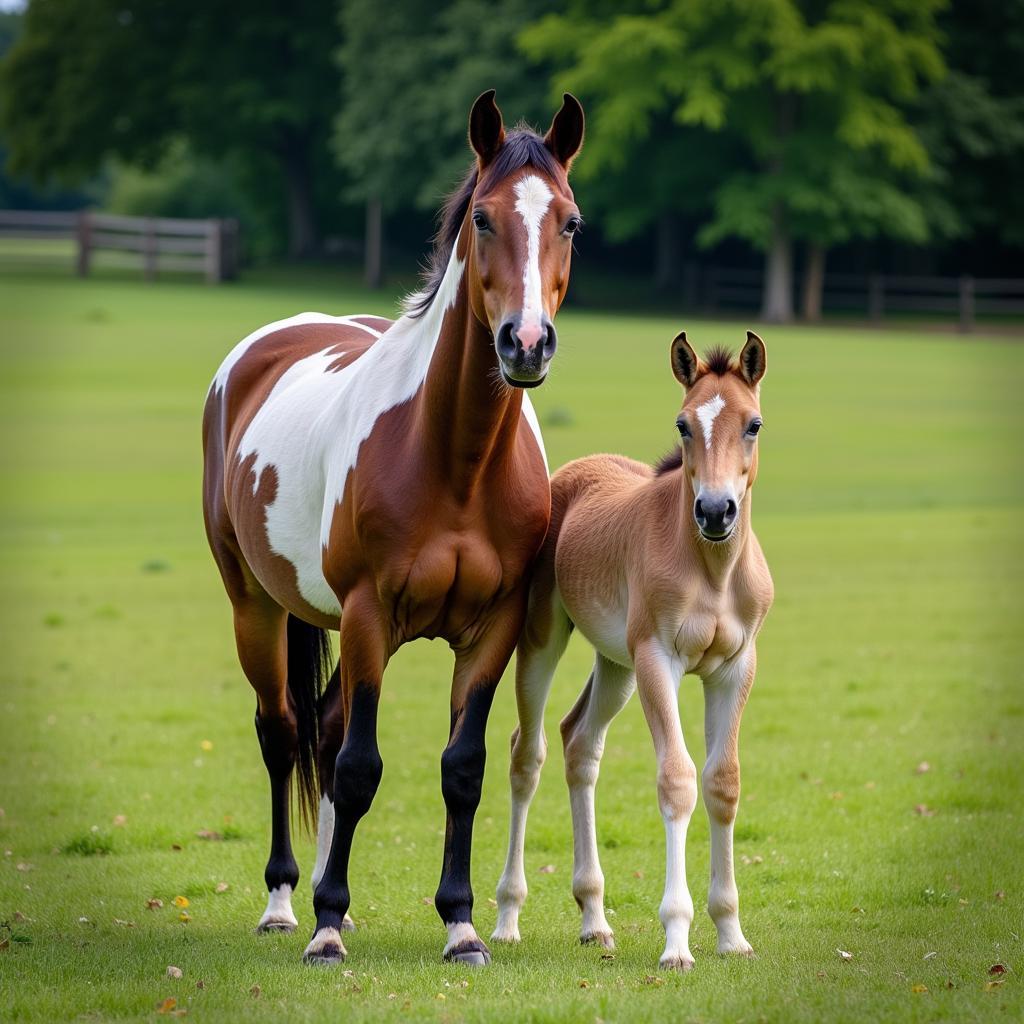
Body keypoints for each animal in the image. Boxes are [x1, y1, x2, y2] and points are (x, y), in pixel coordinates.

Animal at [200, 92, 585, 962]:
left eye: (570, 222)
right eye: (482, 217)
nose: (527, 343)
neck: (456, 464)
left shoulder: (493, 628)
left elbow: (463, 766)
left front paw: (463, 922)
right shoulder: (370, 616)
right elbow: (357, 768)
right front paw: (327, 927)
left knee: (323, 726)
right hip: (254, 608)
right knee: (283, 733)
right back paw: (287, 902)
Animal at [491, 329, 770, 966]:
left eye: (753, 424)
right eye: (683, 424)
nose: (715, 510)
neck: (712, 570)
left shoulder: (734, 667)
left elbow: (722, 782)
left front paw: (732, 934)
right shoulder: (657, 659)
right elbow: (677, 779)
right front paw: (677, 939)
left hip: (615, 665)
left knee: (579, 743)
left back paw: (594, 918)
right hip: (546, 642)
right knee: (528, 753)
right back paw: (507, 917)